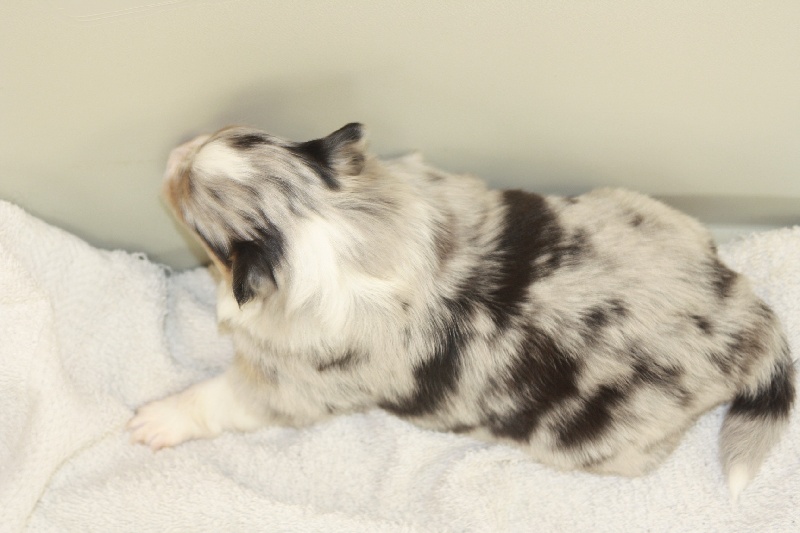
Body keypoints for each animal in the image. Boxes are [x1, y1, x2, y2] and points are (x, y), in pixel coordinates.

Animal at [129, 123, 795, 500]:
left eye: (200, 225)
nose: (176, 152)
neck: (337, 226)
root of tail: (743, 319)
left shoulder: (290, 385)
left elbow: (221, 398)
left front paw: (155, 421)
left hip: (606, 442)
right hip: (642, 209)